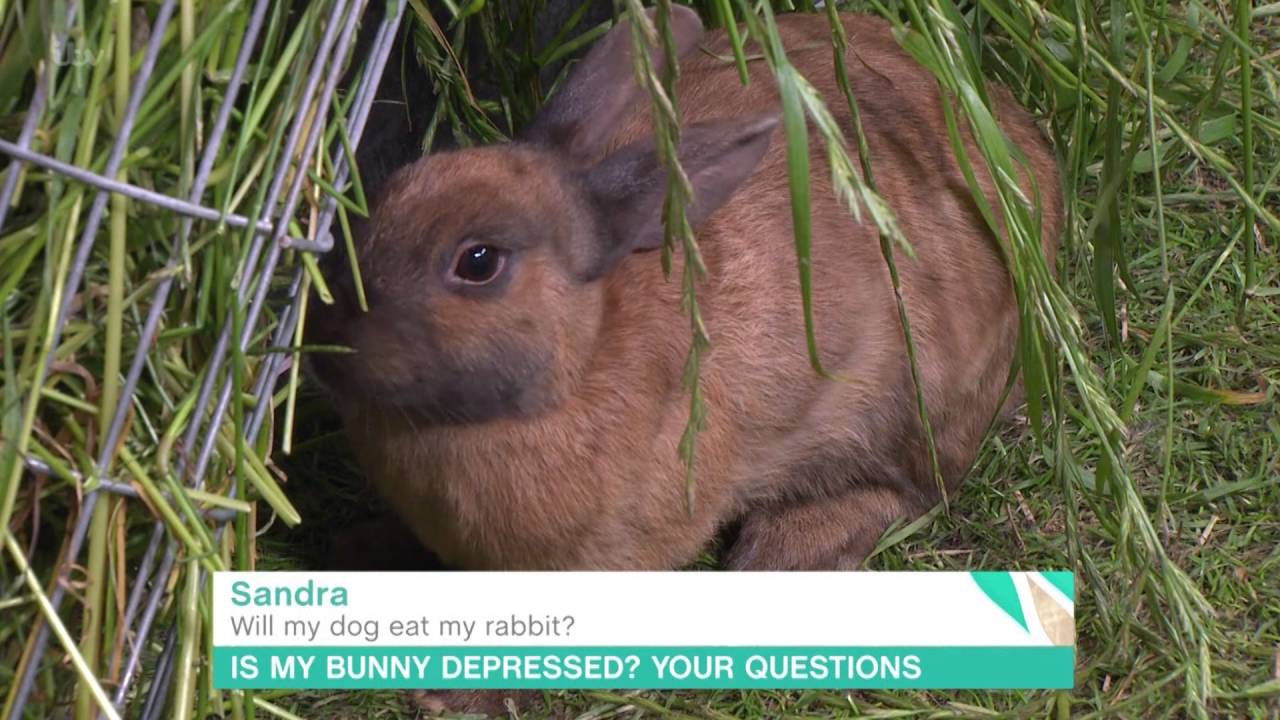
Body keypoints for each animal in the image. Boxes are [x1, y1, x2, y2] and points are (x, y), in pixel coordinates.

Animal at [307, 6, 1061, 574]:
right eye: (393, 190)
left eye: (479, 261)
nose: (324, 344)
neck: (580, 361)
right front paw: (362, 543)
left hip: (916, 400)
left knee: (909, 488)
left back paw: (780, 555)